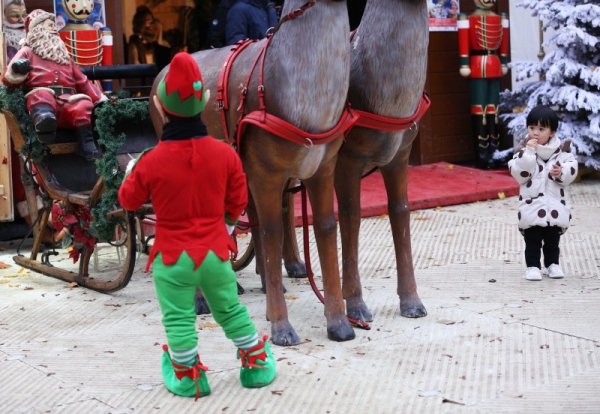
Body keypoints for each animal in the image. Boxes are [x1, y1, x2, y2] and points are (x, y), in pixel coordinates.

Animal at [150, 0, 354, 346]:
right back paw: (200, 301)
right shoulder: (265, 173)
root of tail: (160, 74)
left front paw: (339, 322)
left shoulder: (322, 168)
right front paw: (281, 326)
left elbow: (325, 228)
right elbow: (271, 233)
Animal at [336, 0, 428, 322]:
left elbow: (400, 212)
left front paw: (412, 302)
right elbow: (350, 217)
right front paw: (355, 305)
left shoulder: (399, 157)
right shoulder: (346, 160)